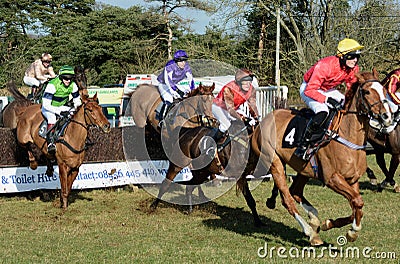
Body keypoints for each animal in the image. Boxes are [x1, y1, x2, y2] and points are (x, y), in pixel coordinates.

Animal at [245, 70, 392, 245]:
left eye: (384, 90)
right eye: (367, 91)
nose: (386, 116)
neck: (347, 135)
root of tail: (261, 123)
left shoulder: (352, 180)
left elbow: (357, 206)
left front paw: (330, 224)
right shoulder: (332, 178)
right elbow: (358, 202)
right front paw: (352, 231)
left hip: (303, 169)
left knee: (295, 191)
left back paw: (314, 220)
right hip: (274, 162)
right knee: (287, 199)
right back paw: (310, 232)